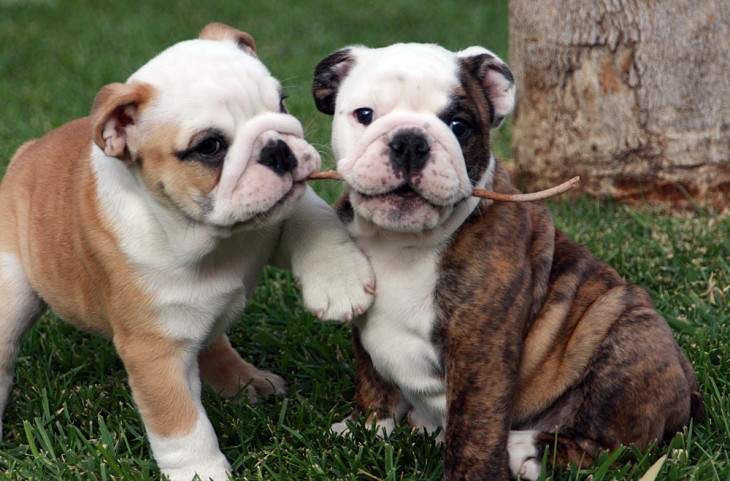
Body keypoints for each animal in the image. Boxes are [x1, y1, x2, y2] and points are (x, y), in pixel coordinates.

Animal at [0, 24, 372, 480]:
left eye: (281, 101)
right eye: (209, 147)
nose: (277, 148)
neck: (210, 237)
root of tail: (28, 151)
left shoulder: (282, 213)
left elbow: (313, 218)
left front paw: (339, 282)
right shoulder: (155, 349)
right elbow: (180, 422)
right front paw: (202, 471)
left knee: (211, 337)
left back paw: (243, 380)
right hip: (12, 293)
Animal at [312, 42, 700, 480]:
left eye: (459, 126)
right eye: (365, 115)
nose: (410, 141)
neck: (400, 243)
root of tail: (689, 390)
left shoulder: (480, 348)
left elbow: (473, 428)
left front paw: (471, 473)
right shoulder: (364, 320)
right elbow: (372, 376)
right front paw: (368, 427)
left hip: (632, 336)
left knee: (611, 444)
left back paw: (527, 450)